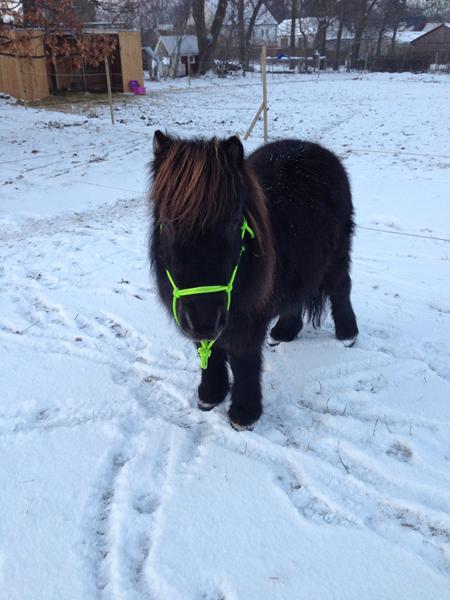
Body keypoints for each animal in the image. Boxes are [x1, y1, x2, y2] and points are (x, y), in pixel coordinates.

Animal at [150, 132, 358, 432]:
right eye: (167, 223)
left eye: (233, 222)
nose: (203, 320)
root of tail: (316, 149)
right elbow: (209, 354)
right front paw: (209, 396)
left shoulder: (247, 319)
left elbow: (243, 358)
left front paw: (244, 413)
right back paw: (284, 332)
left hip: (337, 257)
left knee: (341, 289)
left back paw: (347, 335)